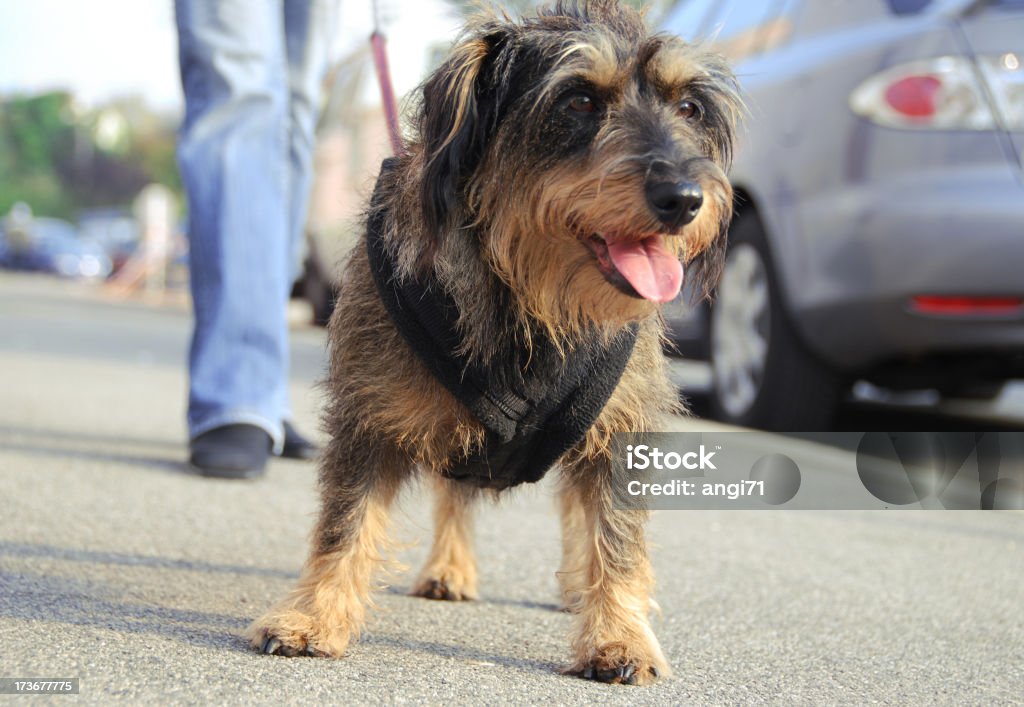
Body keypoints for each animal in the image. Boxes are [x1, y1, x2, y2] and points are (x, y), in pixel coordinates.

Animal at [251, 0, 741, 684]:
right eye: (579, 100)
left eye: (689, 107)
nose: (686, 199)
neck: (528, 297)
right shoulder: (367, 413)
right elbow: (345, 522)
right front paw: (313, 616)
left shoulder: (619, 428)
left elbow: (614, 535)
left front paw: (621, 635)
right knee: (455, 495)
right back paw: (449, 567)